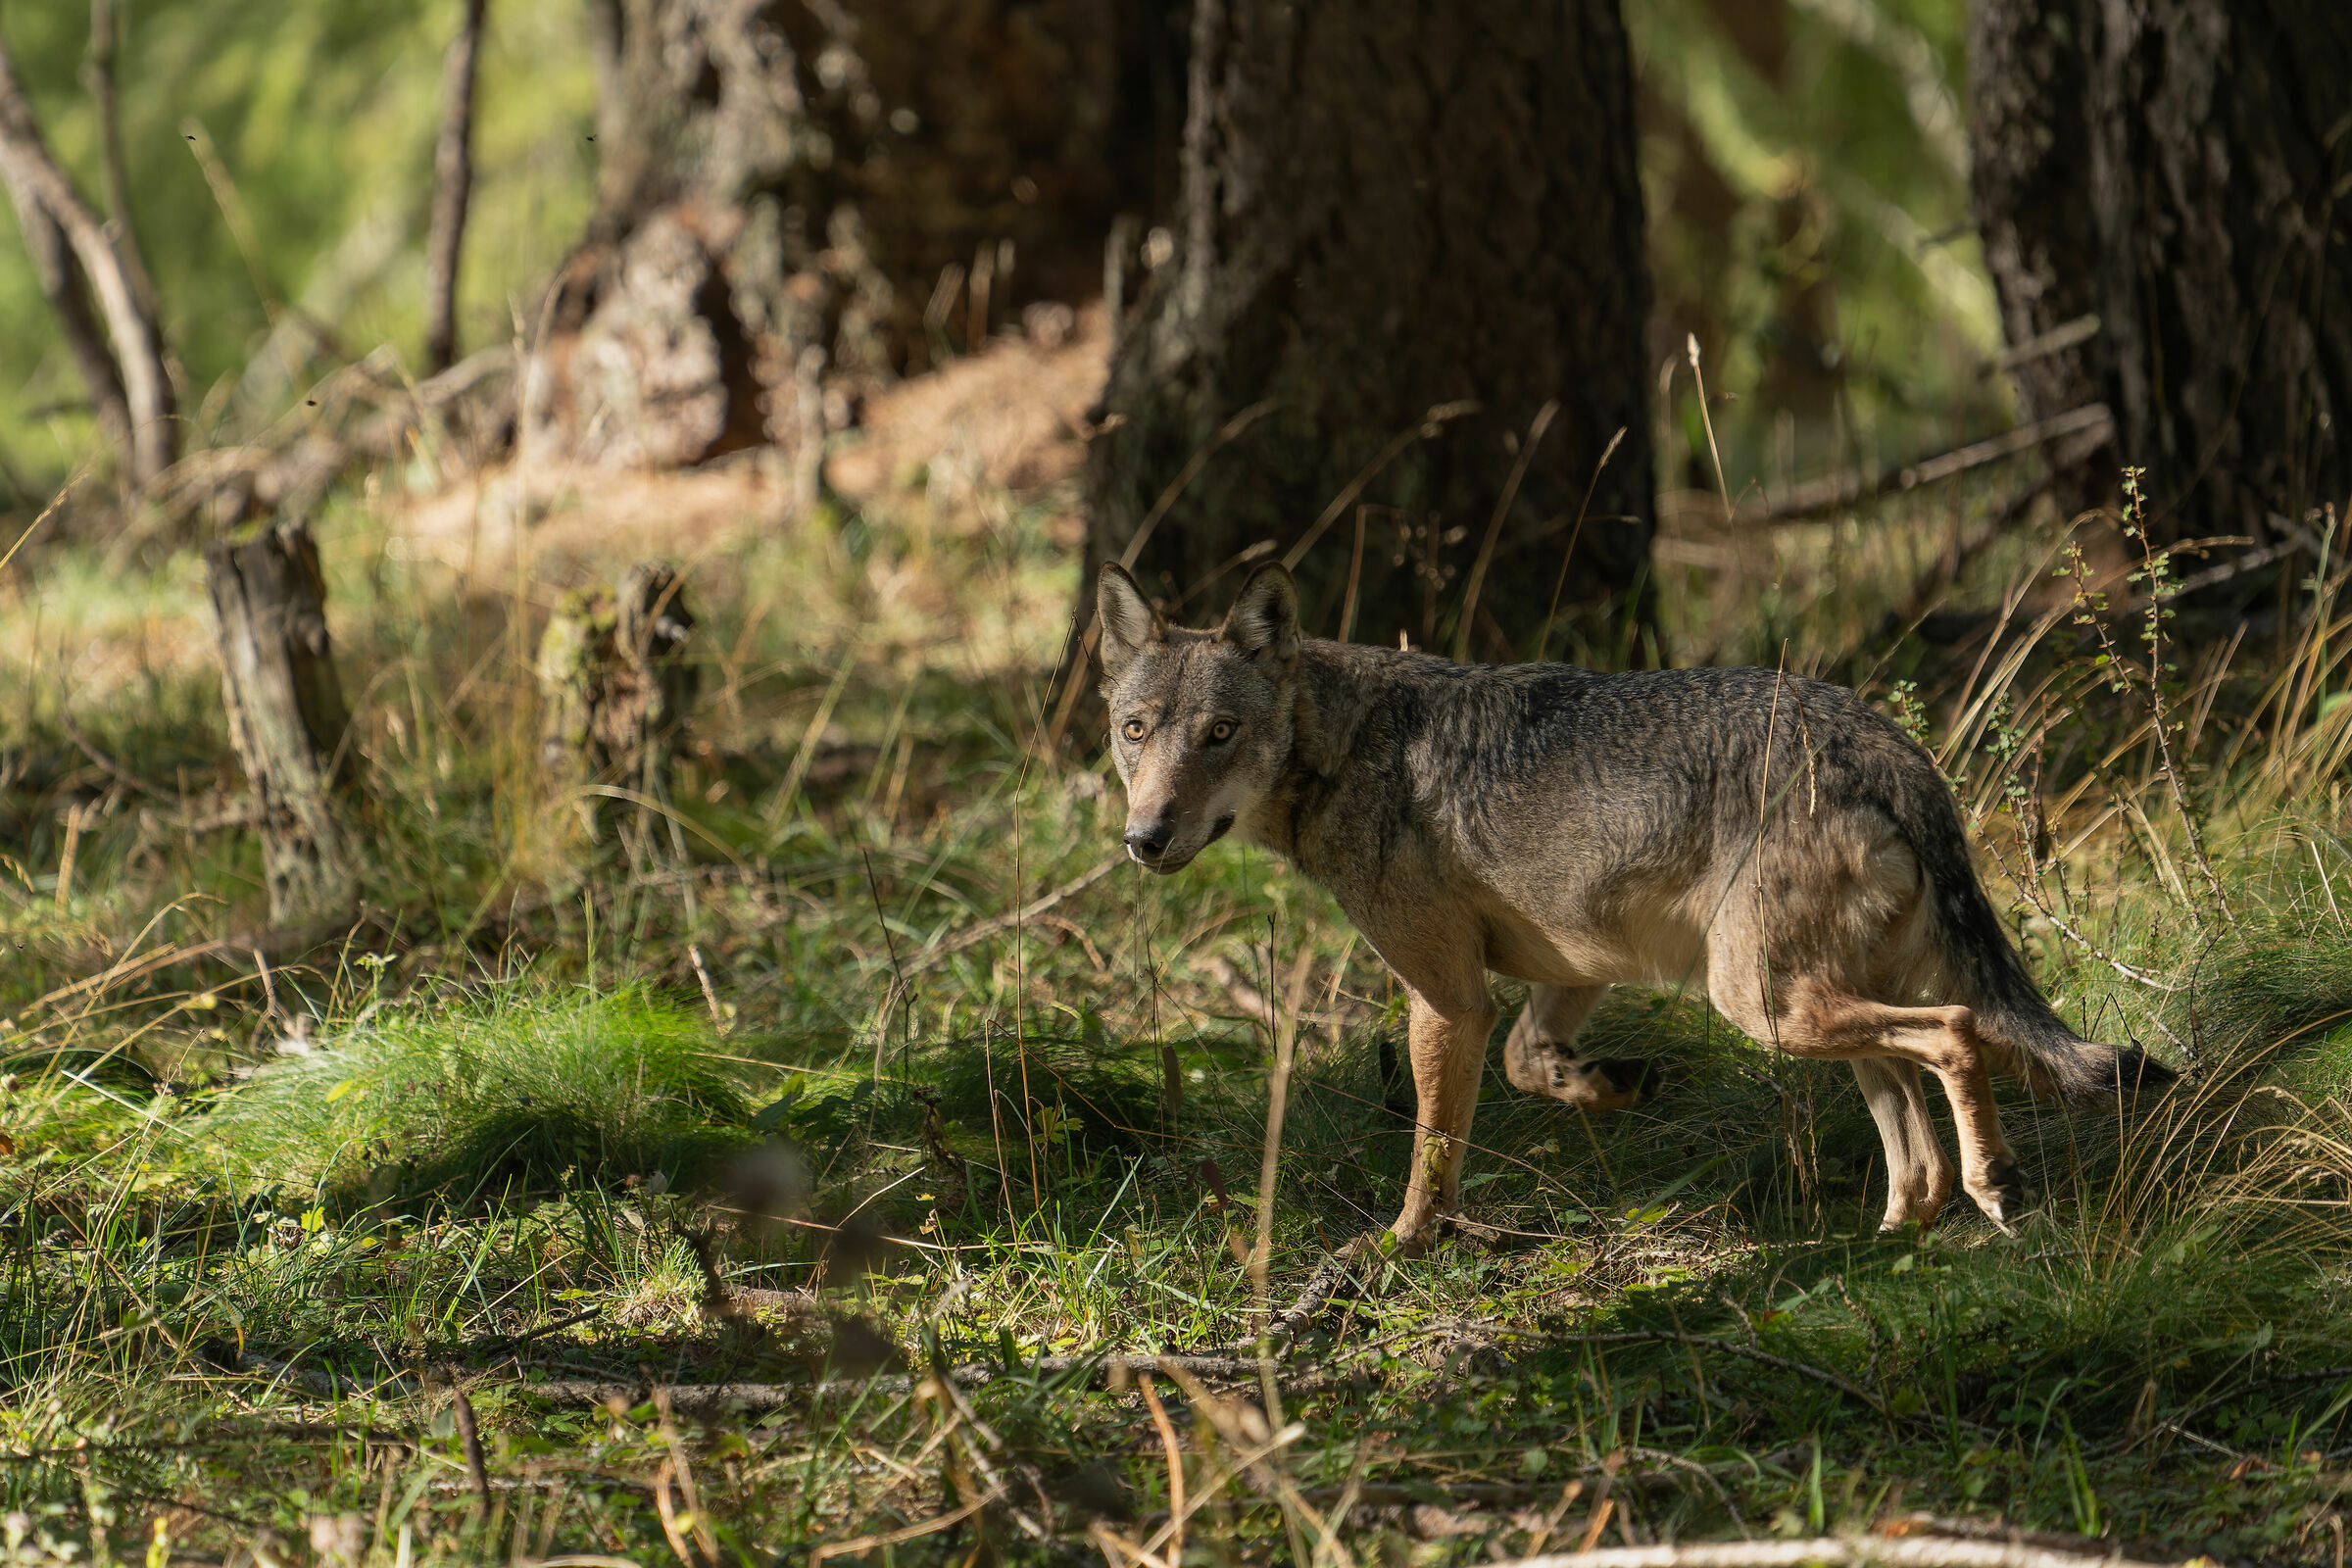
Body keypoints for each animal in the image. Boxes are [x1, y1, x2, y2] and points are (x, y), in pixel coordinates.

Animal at [1095, 561, 2168, 1248]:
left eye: (1220, 734)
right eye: (1136, 731)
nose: (1143, 838)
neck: (1351, 745)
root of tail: (1888, 743)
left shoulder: (1450, 999)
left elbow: (1432, 1150)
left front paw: (1402, 1246)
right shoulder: (1569, 973)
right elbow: (1532, 1066)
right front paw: (1613, 1085)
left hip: (1766, 1005)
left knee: (1954, 1034)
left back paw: (1996, 1187)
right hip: (1804, 1010)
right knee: (1914, 1129)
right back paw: (1891, 1238)